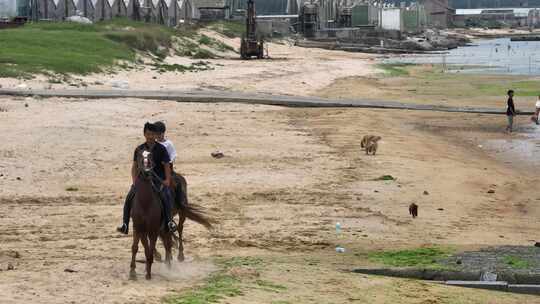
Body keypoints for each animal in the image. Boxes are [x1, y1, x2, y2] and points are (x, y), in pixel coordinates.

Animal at [130, 150, 174, 280]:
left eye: (150, 157)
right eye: (139, 157)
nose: (147, 171)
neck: (145, 202)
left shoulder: (152, 230)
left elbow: (150, 249)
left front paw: (148, 274)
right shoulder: (140, 228)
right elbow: (139, 248)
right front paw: (133, 272)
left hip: (164, 228)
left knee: (168, 245)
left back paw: (168, 266)